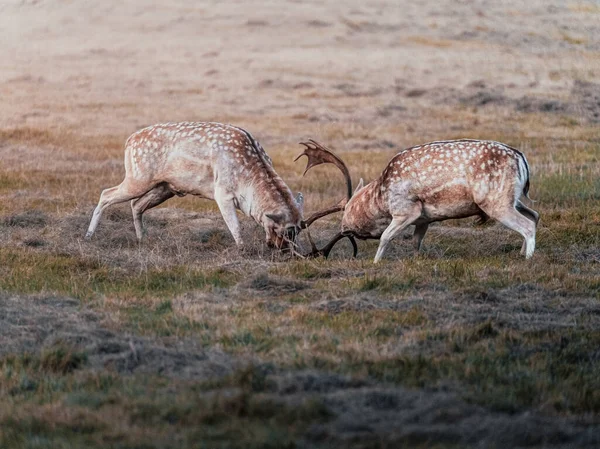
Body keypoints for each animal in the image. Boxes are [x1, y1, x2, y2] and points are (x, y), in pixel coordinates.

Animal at [84, 121, 356, 252]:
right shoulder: (222, 193)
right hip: (138, 177)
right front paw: (243, 251)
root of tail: (129, 141)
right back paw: (88, 236)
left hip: (165, 187)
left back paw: (142, 239)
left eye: (299, 230)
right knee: (106, 194)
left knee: (136, 204)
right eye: (286, 231)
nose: (283, 250)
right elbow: (235, 227)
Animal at [298, 138, 540, 260]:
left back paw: (528, 259)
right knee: (535, 214)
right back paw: (521, 252)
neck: (381, 197)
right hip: (512, 198)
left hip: (495, 201)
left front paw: (376, 263)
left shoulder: (406, 209)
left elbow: (385, 237)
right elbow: (416, 241)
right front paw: (415, 260)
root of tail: (521, 158)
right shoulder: (425, 218)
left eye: (347, 211)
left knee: (527, 225)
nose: (344, 227)